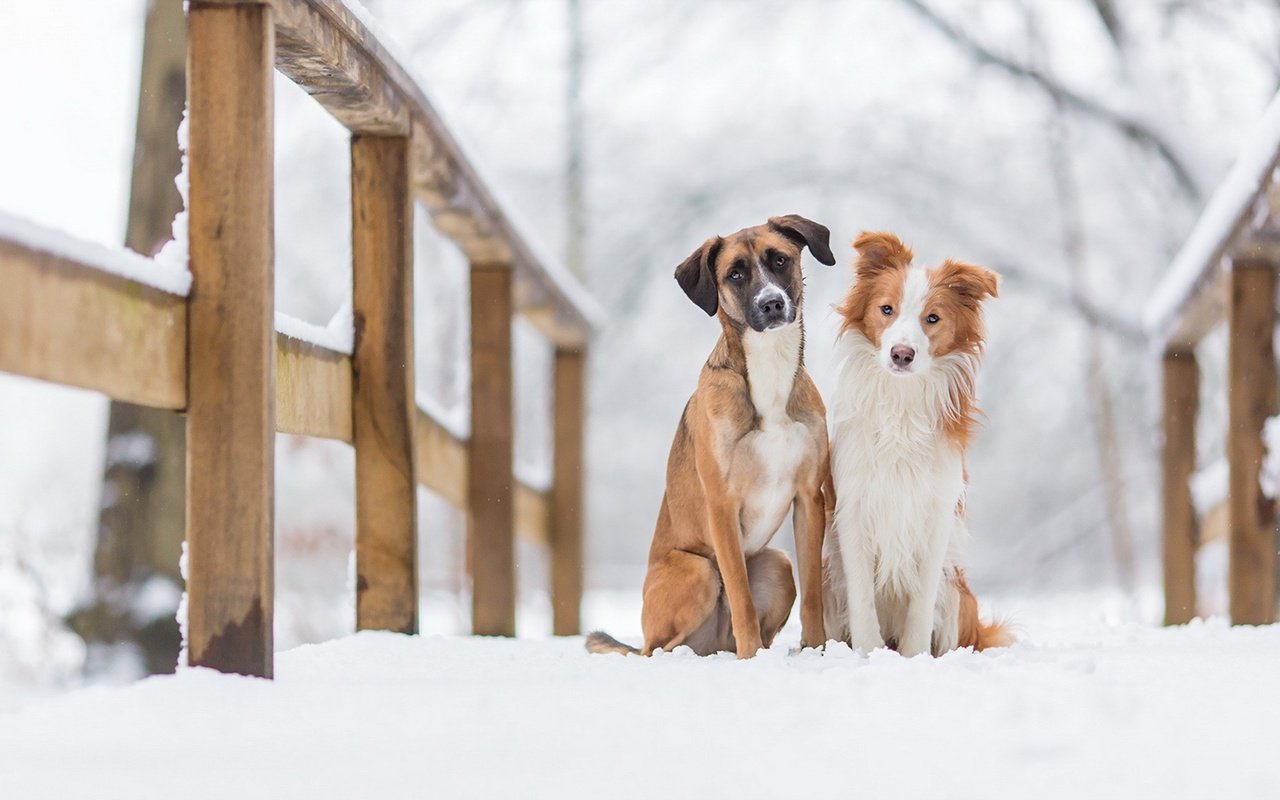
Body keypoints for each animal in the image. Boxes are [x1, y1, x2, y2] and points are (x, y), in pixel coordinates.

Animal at [586, 213, 834, 655]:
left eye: (781, 259)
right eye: (735, 274)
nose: (772, 303)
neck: (768, 369)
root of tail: (712, 645)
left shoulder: (809, 498)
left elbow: (812, 597)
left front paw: (817, 651)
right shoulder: (722, 505)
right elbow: (740, 596)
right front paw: (753, 658)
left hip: (776, 562)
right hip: (698, 570)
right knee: (657, 649)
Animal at [824, 230, 1013, 655]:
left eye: (933, 318)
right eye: (886, 309)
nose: (902, 354)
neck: (901, 402)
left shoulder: (937, 512)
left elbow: (922, 601)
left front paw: (914, 656)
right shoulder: (854, 507)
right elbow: (861, 597)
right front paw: (869, 652)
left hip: (958, 593)